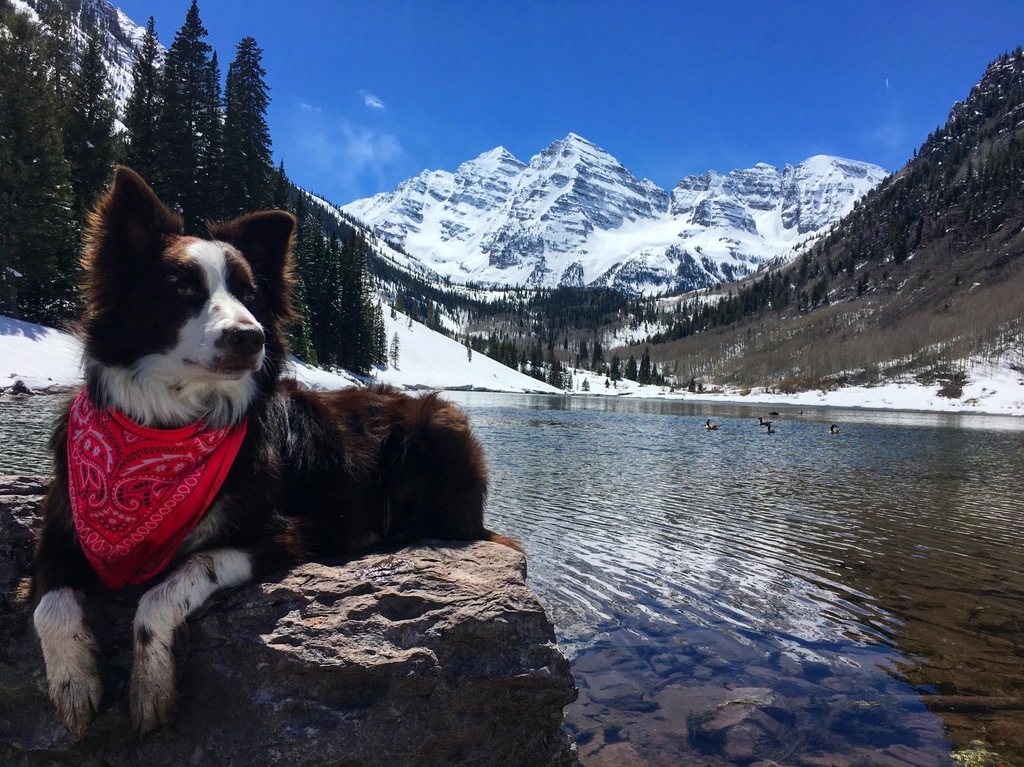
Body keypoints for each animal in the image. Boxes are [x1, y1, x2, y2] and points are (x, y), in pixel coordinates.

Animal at [33, 165, 516, 737]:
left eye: (249, 294)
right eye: (182, 289)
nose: (251, 337)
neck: (168, 423)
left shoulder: (281, 534)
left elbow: (166, 588)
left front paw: (149, 685)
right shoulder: (61, 525)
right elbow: (48, 606)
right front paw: (73, 683)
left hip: (440, 421)